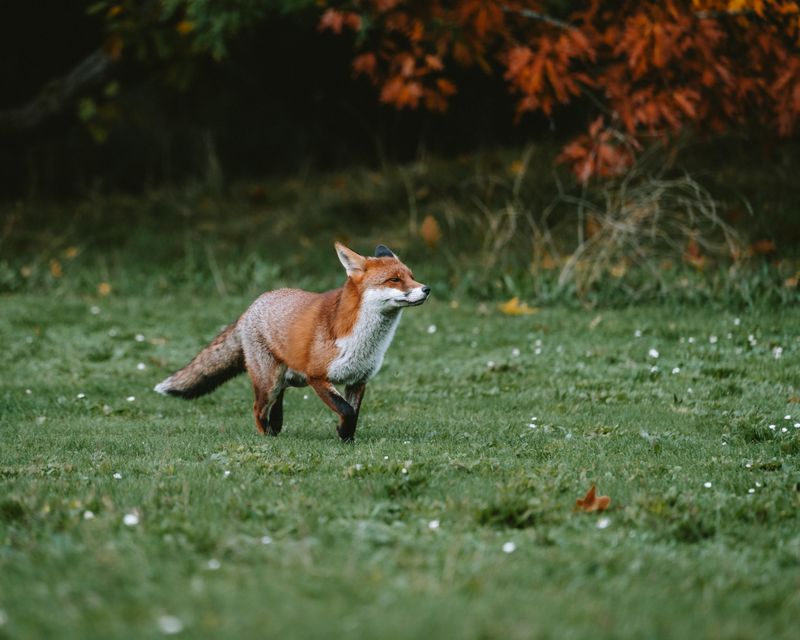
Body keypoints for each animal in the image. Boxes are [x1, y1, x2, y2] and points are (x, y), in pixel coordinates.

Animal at [154, 243, 430, 441]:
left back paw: (276, 429)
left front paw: (346, 439)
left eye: (412, 276)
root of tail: (253, 305)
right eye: (394, 280)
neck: (365, 341)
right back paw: (266, 436)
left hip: (286, 381)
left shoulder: (358, 380)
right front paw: (342, 434)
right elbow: (346, 410)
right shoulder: (317, 377)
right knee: (258, 409)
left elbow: (353, 414)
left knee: (277, 407)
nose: (426, 289)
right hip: (269, 382)